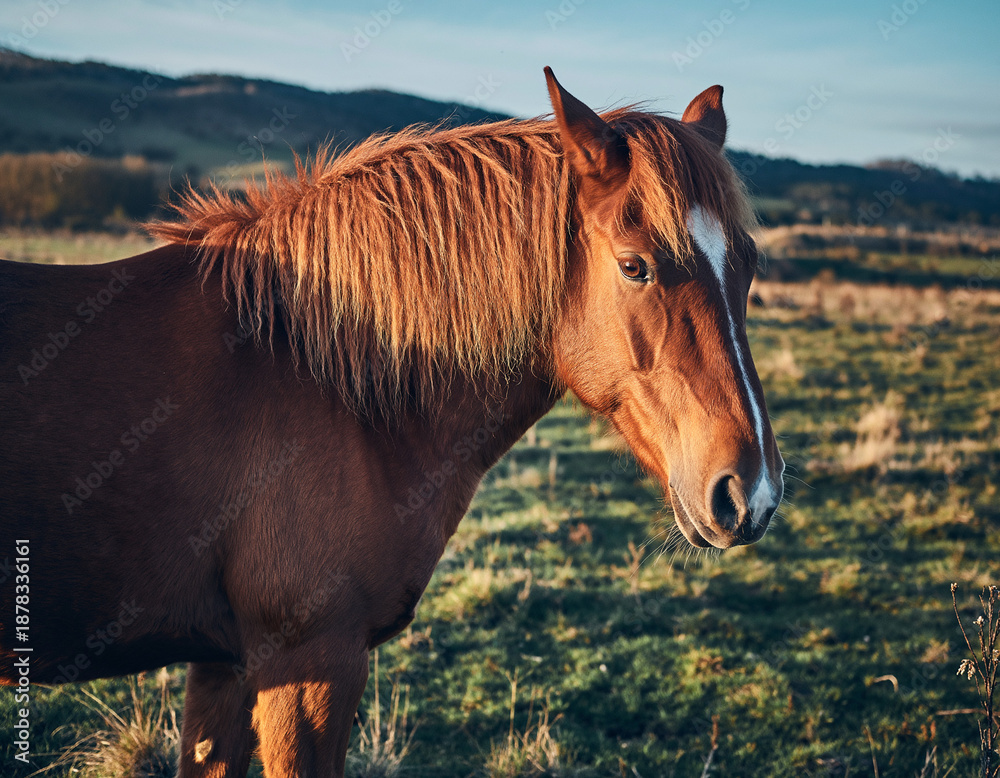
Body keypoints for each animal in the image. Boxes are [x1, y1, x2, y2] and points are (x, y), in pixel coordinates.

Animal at [0, 68, 784, 777]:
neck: (315, 371)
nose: (751, 493)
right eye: (634, 266)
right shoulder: (309, 662)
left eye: (748, 265)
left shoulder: (221, 663)